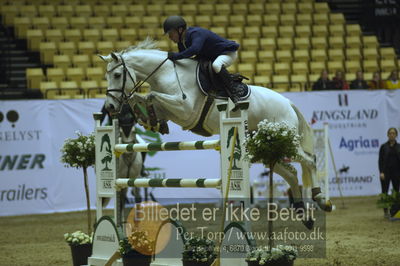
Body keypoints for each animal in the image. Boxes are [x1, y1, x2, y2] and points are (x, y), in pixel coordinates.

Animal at [99, 38, 332, 216]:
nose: (110, 107)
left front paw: (147, 114)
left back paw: (321, 199)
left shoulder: (185, 109)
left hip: (286, 142)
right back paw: (302, 212)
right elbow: (144, 99)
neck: (165, 72)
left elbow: (151, 95)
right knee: (291, 172)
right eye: (106, 76)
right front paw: (150, 119)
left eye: (117, 75)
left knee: (309, 161)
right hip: (263, 147)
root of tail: (288, 103)